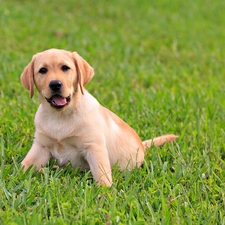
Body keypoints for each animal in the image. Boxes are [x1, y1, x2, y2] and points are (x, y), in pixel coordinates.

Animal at [20, 48, 177, 185]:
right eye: (42, 70)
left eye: (65, 68)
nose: (55, 84)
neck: (60, 116)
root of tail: (142, 146)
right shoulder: (41, 146)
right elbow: (24, 165)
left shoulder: (94, 147)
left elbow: (101, 174)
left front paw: (104, 192)